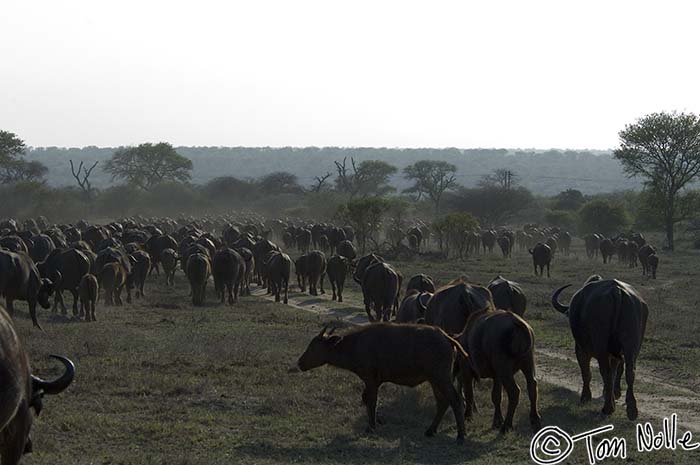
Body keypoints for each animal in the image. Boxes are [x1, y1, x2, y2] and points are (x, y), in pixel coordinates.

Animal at [298, 324, 474, 440]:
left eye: (312, 347)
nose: (300, 363)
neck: (355, 344)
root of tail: (447, 337)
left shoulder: (370, 380)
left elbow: (371, 401)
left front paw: (371, 427)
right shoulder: (373, 383)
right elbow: (366, 399)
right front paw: (377, 421)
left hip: (441, 378)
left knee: (455, 400)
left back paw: (461, 435)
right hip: (434, 380)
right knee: (443, 402)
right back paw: (430, 430)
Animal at [556, 276, 648, 420]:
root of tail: (616, 291)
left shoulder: (580, 349)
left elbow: (586, 373)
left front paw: (586, 397)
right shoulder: (615, 355)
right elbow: (615, 372)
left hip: (601, 347)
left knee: (606, 372)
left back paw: (608, 408)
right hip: (632, 345)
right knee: (629, 372)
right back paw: (631, 410)